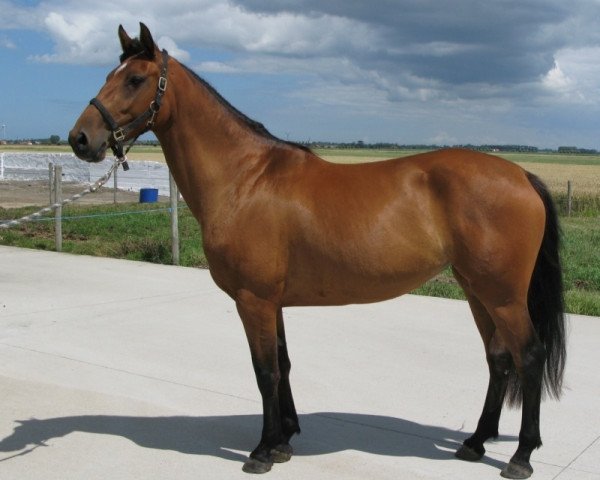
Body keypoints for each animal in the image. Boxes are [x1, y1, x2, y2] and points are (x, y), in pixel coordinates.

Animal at [70, 24, 568, 478]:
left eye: (135, 79)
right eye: (109, 74)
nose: (80, 139)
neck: (244, 178)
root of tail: (522, 175)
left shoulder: (253, 300)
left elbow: (265, 372)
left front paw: (262, 451)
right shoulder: (272, 302)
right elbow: (284, 365)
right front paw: (284, 439)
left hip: (502, 295)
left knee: (528, 356)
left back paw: (521, 456)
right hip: (476, 290)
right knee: (499, 359)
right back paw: (475, 443)